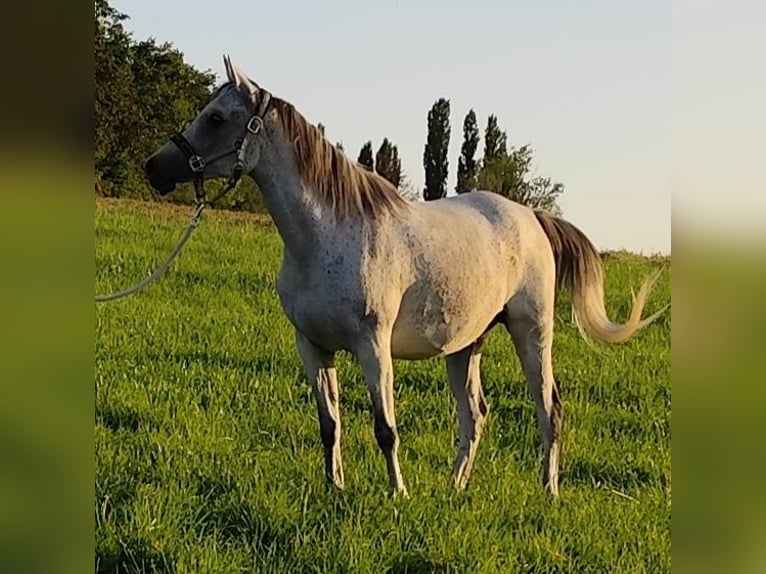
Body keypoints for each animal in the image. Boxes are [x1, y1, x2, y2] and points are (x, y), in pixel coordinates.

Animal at [144, 56, 664, 502]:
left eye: (216, 117)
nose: (154, 168)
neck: (327, 235)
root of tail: (532, 218)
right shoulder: (313, 347)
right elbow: (329, 424)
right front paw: (335, 486)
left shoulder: (373, 346)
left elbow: (384, 427)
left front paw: (398, 493)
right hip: (465, 344)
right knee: (475, 415)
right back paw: (455, 488)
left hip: (531, 332)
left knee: (548, 408)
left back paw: (548, 491)